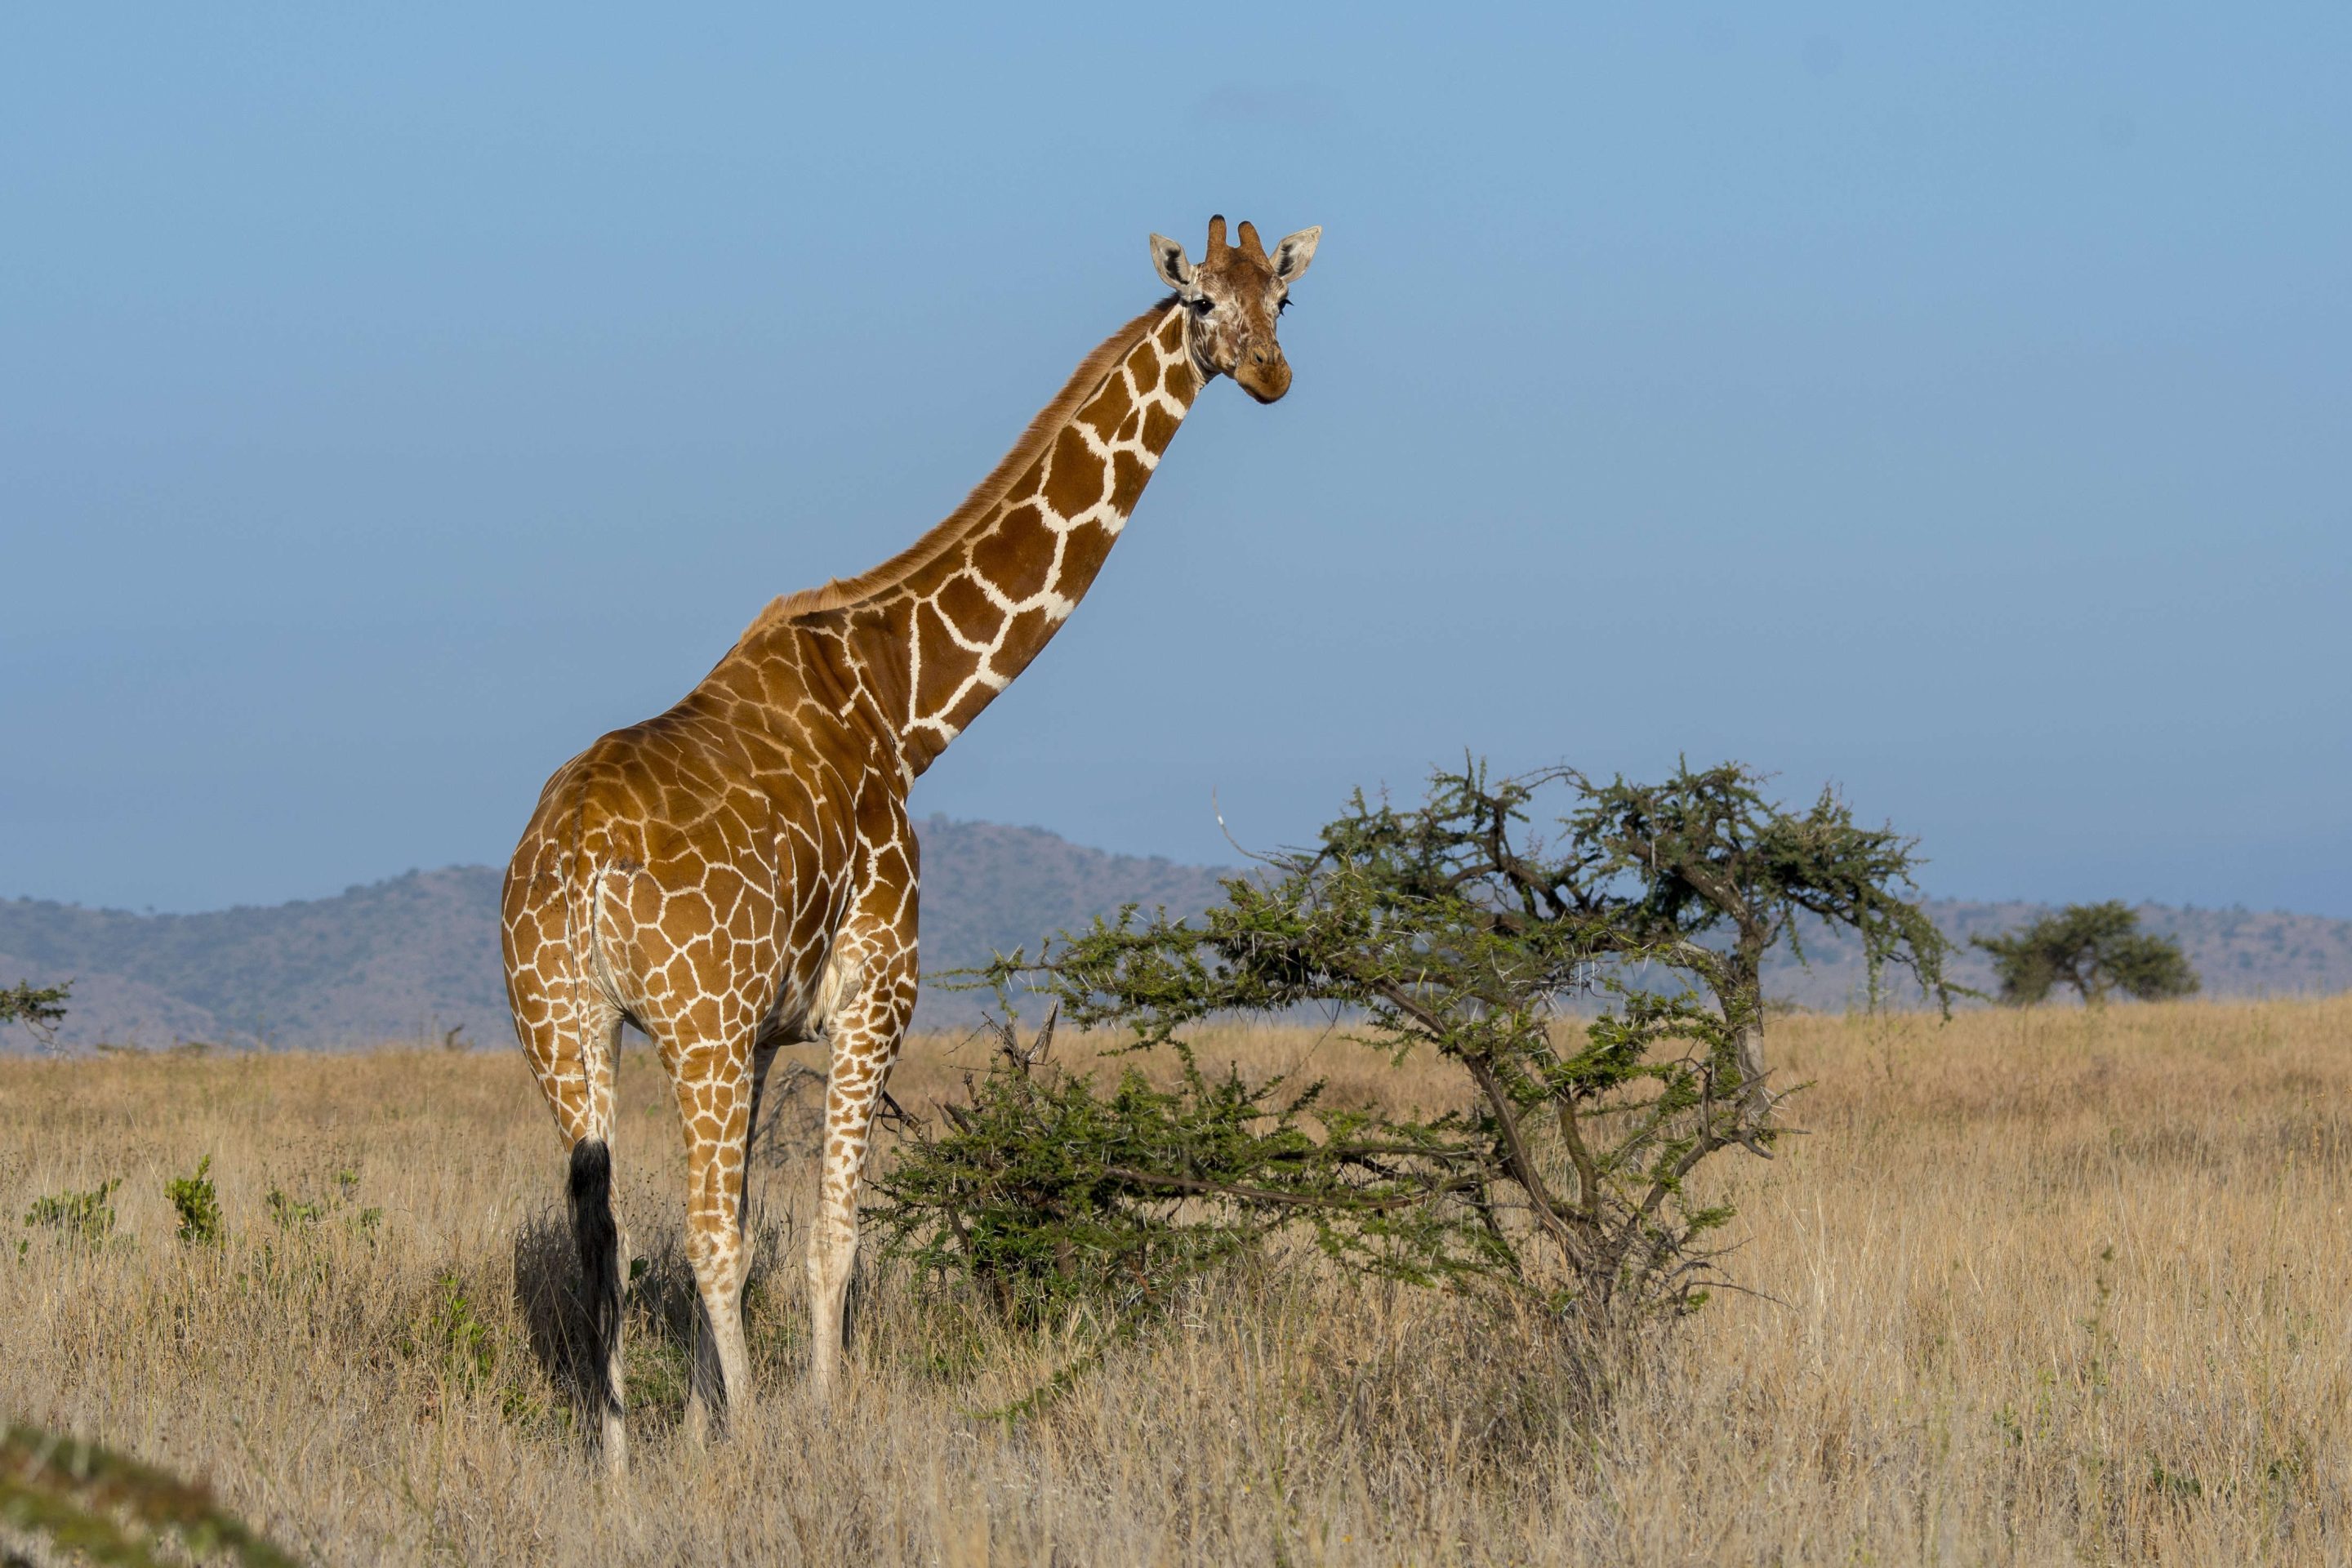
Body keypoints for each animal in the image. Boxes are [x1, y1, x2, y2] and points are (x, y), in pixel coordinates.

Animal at [502, 215, 1321, 1471]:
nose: (1273, 375)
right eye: (1200, 304)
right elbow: (831, 1233)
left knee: (609, 1237)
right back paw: (732, 1440)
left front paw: (705, 1427)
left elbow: (756, 1223)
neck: (904, 704)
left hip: (568, 1022)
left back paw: (617, 1464)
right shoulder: (873, 992)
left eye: (1282, 298)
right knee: (696, 1235)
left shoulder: (763, 1033)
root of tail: (578, 863)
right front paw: (808, 1422)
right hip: (686, 1027)